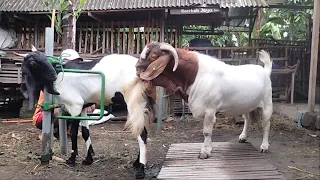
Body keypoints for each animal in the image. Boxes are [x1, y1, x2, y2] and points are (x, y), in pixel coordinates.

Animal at [15, 46, 158, 179]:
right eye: (33, 62)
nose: (53, 75)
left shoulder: (75, 105)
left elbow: (73, 132)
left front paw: (72, 159)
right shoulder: (83, 106)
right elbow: (85, 132)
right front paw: (89, 158)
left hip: (134, 102)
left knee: (142, 133)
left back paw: (141, 169)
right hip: (142, 105)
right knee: (142, 130)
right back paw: (137, 163)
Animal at [127, 41, 272, 159]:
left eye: (153, 55)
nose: (136, 68)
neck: (194, 75)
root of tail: (265, 71)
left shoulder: (210, 110)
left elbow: (206, 132)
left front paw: (205, 152)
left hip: (267, 104)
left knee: (266, 124)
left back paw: (264, 146)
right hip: (247, 105)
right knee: (247, 119)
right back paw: (243, 136)